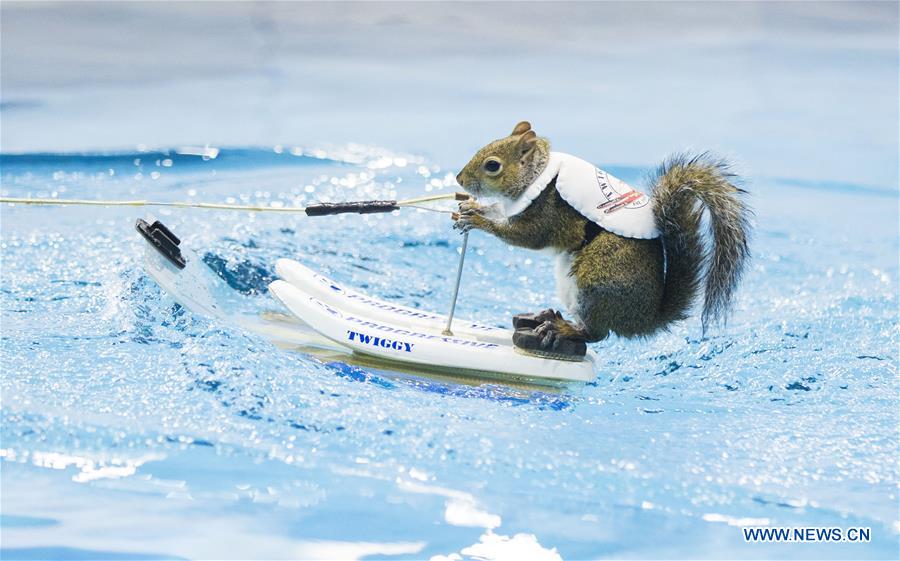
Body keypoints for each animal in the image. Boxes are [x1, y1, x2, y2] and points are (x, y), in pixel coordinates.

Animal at [450, 122, 752, 358]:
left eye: (492, 165)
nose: (459, 178)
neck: (540, 175)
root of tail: (642, 320)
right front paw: (472, 208)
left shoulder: (550, 213)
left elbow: (526, 236)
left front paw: (478, 221)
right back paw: (548, 317)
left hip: (595, 280)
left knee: (596, 333)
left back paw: (560, 328)